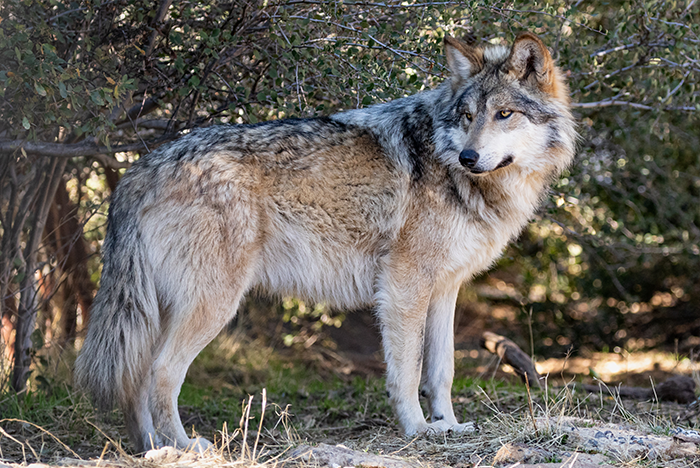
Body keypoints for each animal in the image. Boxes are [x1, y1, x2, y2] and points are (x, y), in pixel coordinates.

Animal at [75, 32, 576, 450]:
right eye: (469, 116)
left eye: (504, 114)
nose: (469, 156)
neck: (456, 171)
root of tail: (137, 172)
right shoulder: (403, 286)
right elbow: (407, 371)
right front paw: (417, 429)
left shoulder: (444, 289)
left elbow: (442, 371)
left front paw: (449, 426)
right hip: (212, 304)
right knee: (160, 373)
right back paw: (184, 446)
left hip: (165, 309)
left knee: (137, 379)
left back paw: (150, 448)